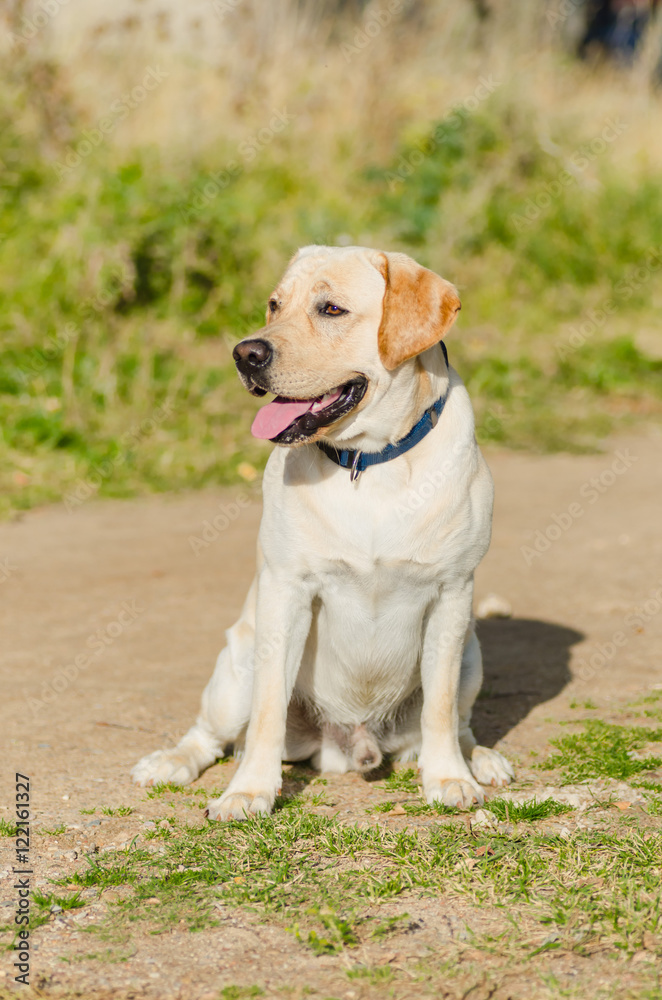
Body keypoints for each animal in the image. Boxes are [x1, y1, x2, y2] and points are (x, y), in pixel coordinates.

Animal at [131, 246, 512, 816]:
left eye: (331, 309)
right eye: (274, 305)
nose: (245, 353)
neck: (368, 463)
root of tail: (347, 746)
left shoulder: (451, 593)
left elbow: (440, 710)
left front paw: (448, 777)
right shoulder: (288, 591)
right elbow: (267, 711)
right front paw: (249, 791)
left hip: (470, 651)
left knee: (458, 721)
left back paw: (479, 759)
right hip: (236, 667)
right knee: (211, 734)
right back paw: (169, 763)